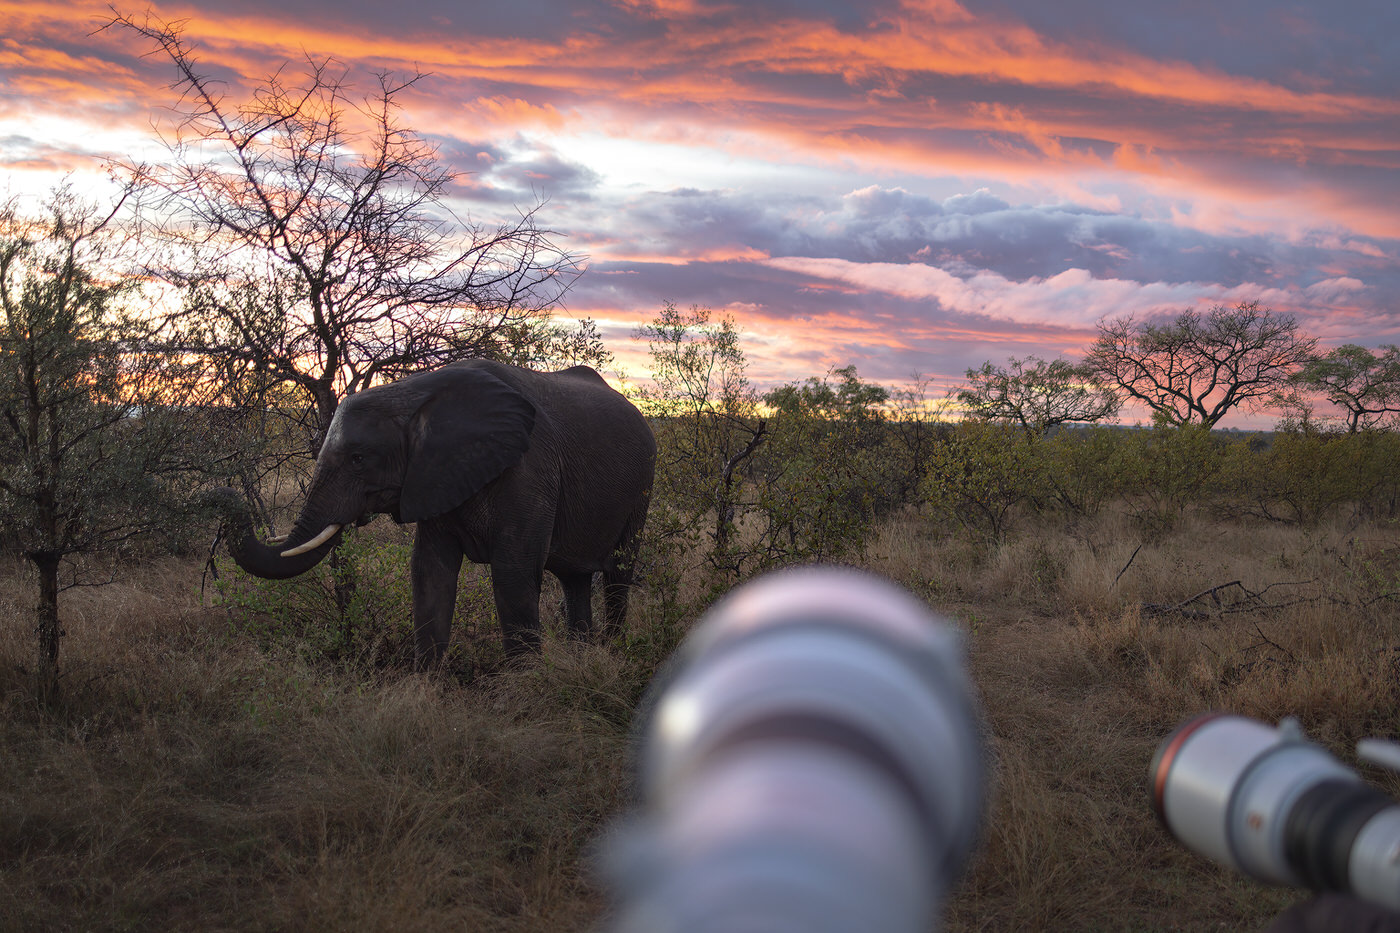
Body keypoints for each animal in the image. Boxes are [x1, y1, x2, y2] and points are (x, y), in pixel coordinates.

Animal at [211, 355, 655, 661]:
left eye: (358, 458)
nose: (218, 494)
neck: (412, 396)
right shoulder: (433, 477)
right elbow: (429, 572)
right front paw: (426, 689)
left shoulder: (529, 470)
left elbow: (513, 574)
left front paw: (526, 691)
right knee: (575, 579)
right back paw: (585, 657)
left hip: (642, 483)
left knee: (617, 574)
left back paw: (612, 652)